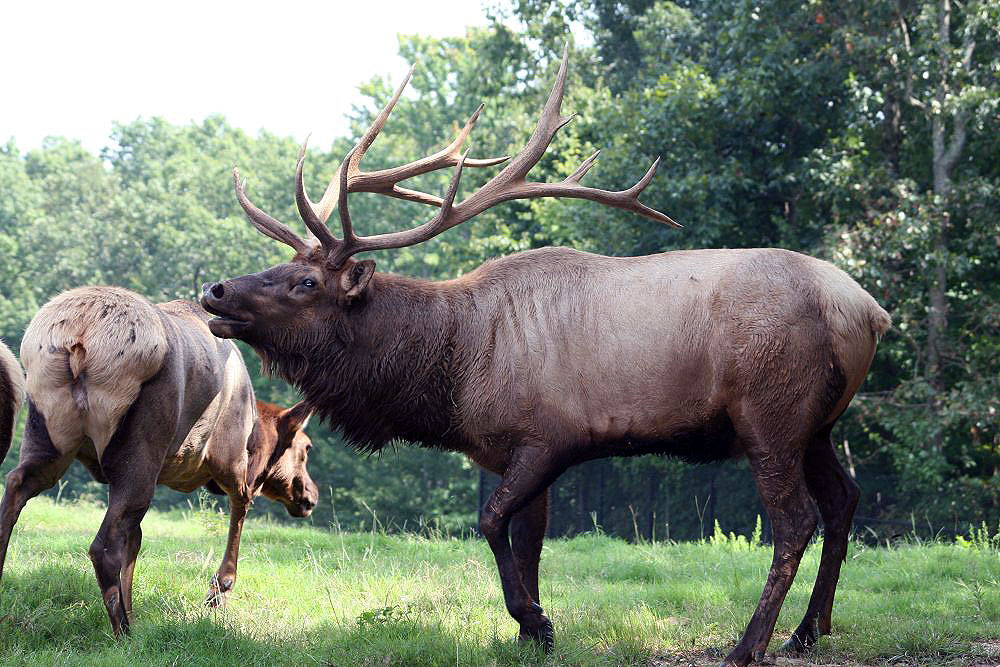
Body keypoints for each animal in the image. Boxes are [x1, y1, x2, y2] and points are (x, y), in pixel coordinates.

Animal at [0, 287, 319, 634]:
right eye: (306, 448)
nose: (311, 496)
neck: (254, 432)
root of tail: (80, 337)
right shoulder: (230, 460)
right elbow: (242, 504)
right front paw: (218, 591)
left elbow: (136, 540)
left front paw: (135, 608)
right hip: (142, 442)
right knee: (103, 548)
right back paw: (124, 633)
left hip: (48, 436)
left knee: (16, 488)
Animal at [200, 50, 891, 667]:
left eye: (306, 283)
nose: (216, 290)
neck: (453, 370)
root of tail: (869, 311)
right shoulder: (516, 448)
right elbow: (528, 540)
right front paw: (531, 634)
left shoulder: (549, 437)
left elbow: (491, 521)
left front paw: (535, 620)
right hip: (817, 424)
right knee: (845, 499)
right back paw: (808, 632)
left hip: (769, 414)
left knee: (796, 521)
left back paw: (749, 645)